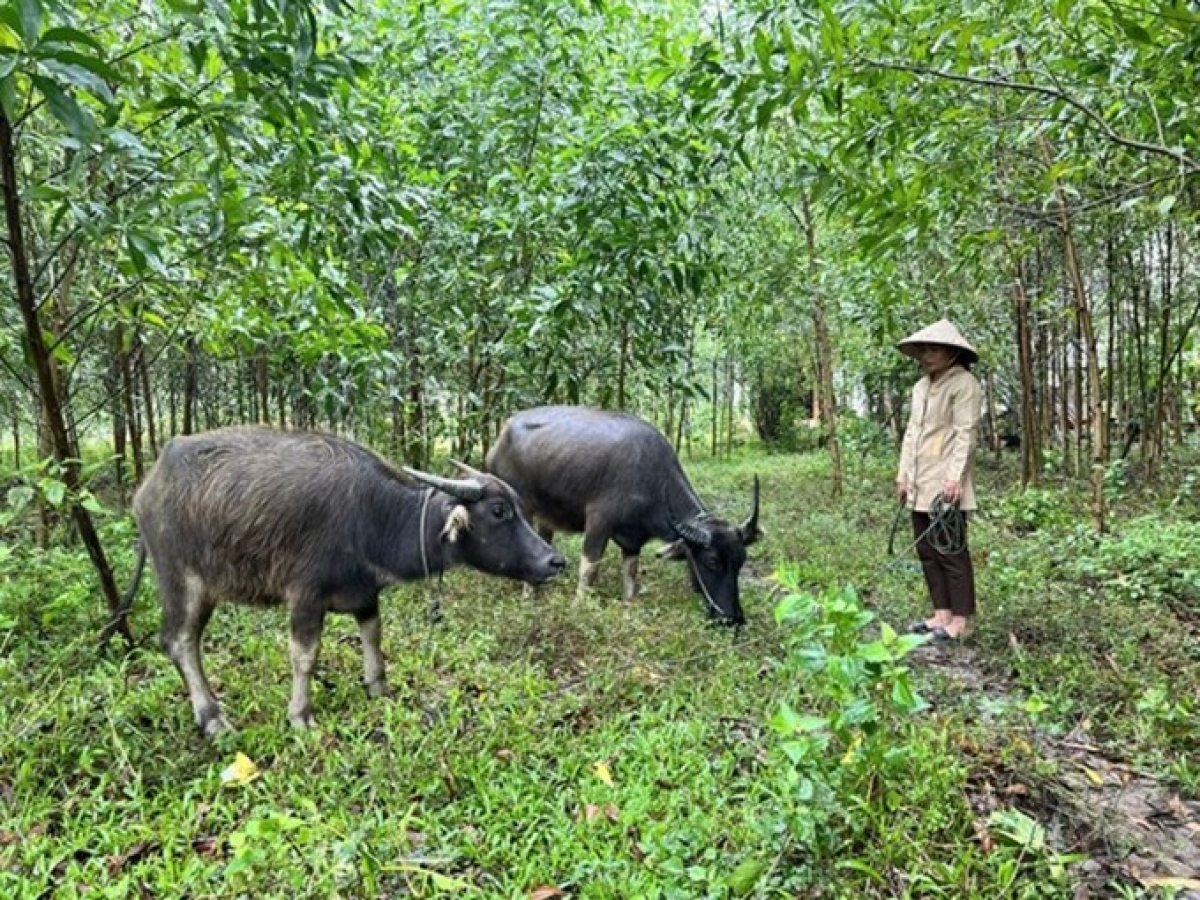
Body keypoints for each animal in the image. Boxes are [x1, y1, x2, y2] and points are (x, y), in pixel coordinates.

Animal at [114, 427, 564, 734]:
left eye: (519, 506)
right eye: (499, 511)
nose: (554, 560)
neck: (372, 516)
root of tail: (147, 489)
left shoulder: (364, 595)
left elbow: (374, 636)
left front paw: (378, 687)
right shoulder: (305, 597)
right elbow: (304, 656)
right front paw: (301, 716)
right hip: (183, 580)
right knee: (179, 641)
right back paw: (212, 718)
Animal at [484, 405, 758, 624]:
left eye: (741, 560)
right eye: (712, 561)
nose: (733, 618)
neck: (651, 481)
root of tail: (502, 434)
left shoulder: (633, 542)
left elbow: (631, 577)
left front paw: (628, 610)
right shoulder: (598, 522)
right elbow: (589, 570)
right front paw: (578, 609)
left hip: (546, 516)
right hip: (522, 508)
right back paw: (528, 597)